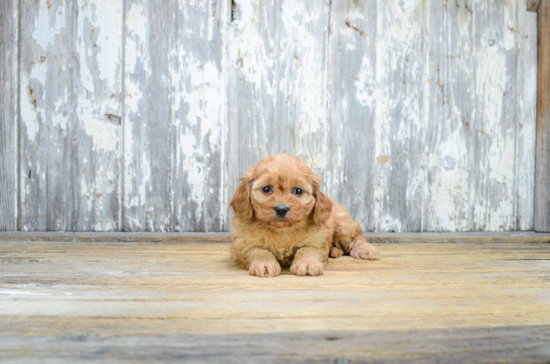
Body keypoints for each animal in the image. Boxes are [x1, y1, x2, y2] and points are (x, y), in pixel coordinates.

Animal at [230, 152, 380, 278]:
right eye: (266, 189)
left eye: (298, 191)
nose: (281, 209)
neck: (282, 229)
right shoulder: (243, 245)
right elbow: (259, 251)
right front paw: (265, 264)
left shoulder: (316, 241)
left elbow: (307, 249)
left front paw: (307, 263)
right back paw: (334, 251)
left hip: (342, 226)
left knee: (356, 236)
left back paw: (365, 249)